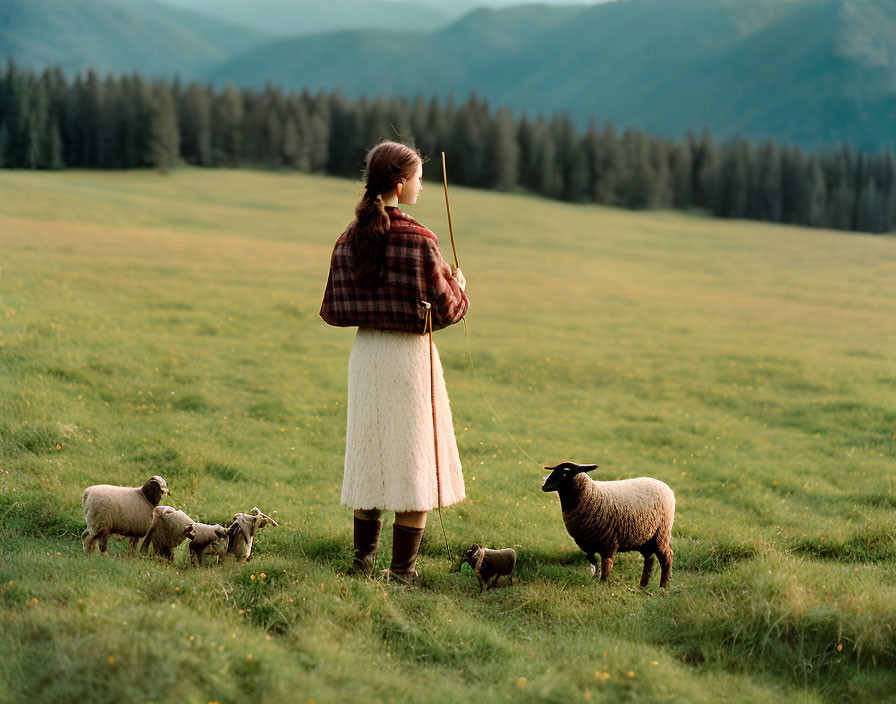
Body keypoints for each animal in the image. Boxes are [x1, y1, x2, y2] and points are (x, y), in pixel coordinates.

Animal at [540, 462, 672, 588]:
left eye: (564, 473)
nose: (543, 486)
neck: (590, 495)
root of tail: (666, 487)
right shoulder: (588, 545)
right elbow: (594, 564)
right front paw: (594, 579)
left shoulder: (609, 542)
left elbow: (607, 565)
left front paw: (601, 585)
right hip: (645, 539)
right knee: (649, 560)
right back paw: (643, 586)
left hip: (661, 534)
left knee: (666, 557)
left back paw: (662, 587)